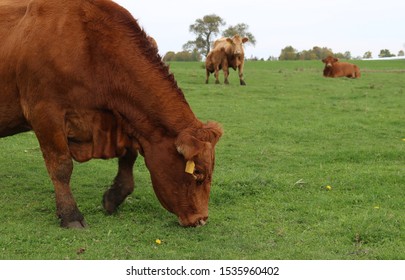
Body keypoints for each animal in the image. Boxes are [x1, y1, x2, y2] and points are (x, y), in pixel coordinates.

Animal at [0, 0, 223, 228]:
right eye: (197, 172)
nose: (201, 219)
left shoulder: (120, 121)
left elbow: (129, 157)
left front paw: (114, 197)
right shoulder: (45, 114)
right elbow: (61, 166)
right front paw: (70, 215)